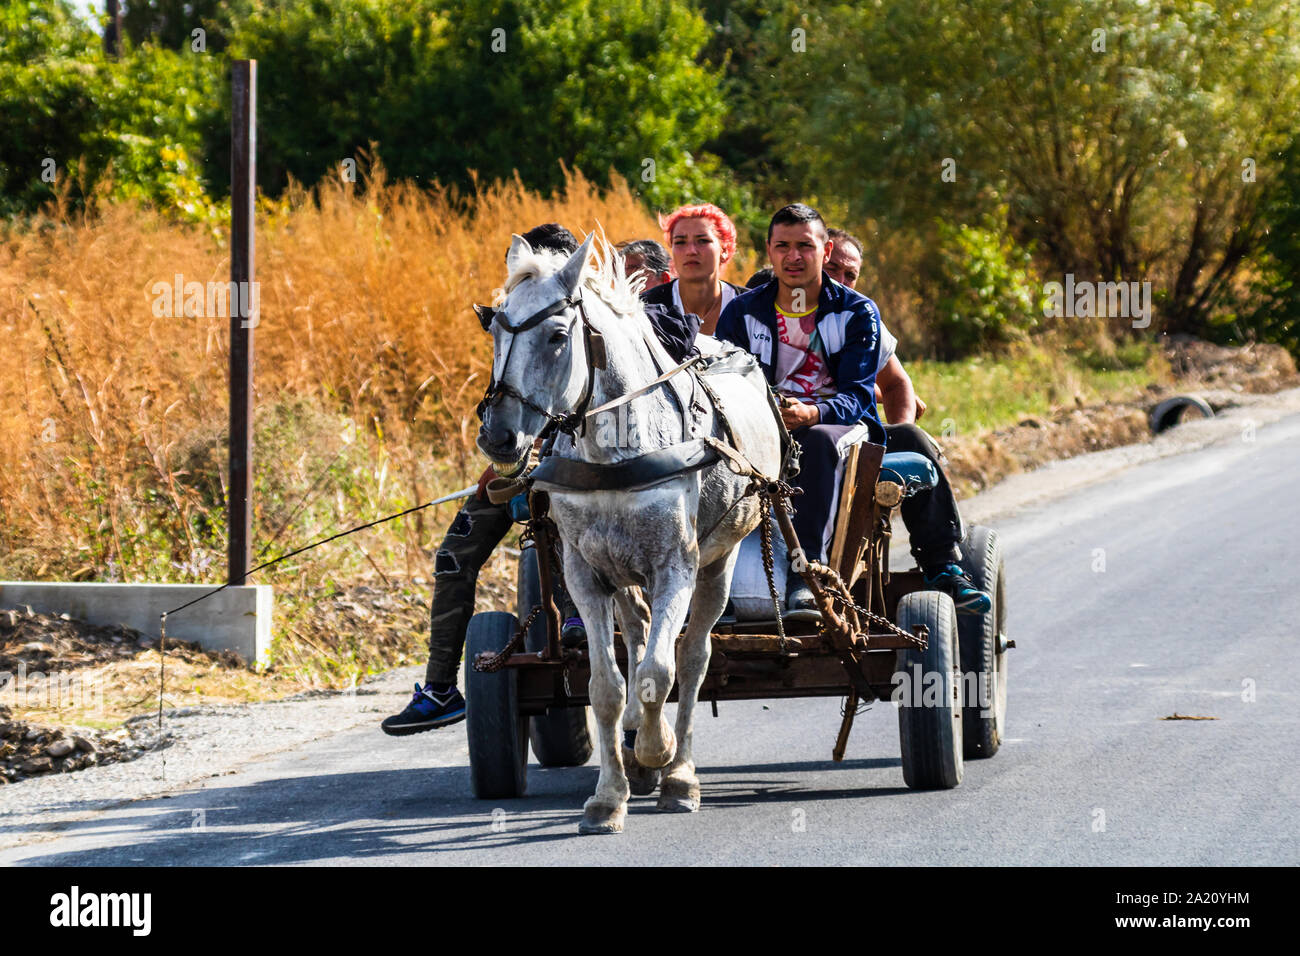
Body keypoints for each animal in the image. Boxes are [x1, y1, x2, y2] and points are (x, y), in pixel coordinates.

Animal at [478, 230, 780, 832]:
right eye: (495, 329)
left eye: (557, 337)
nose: (498, 437)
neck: (615, 451)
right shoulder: (584, 573)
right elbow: (606, 687)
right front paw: (609, 795)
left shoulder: (675, 567)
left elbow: (659, 672)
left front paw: (659, 754)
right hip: (622, 572)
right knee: (638, 632)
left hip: (718, 560)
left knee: (693, 657)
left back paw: (678, 771)